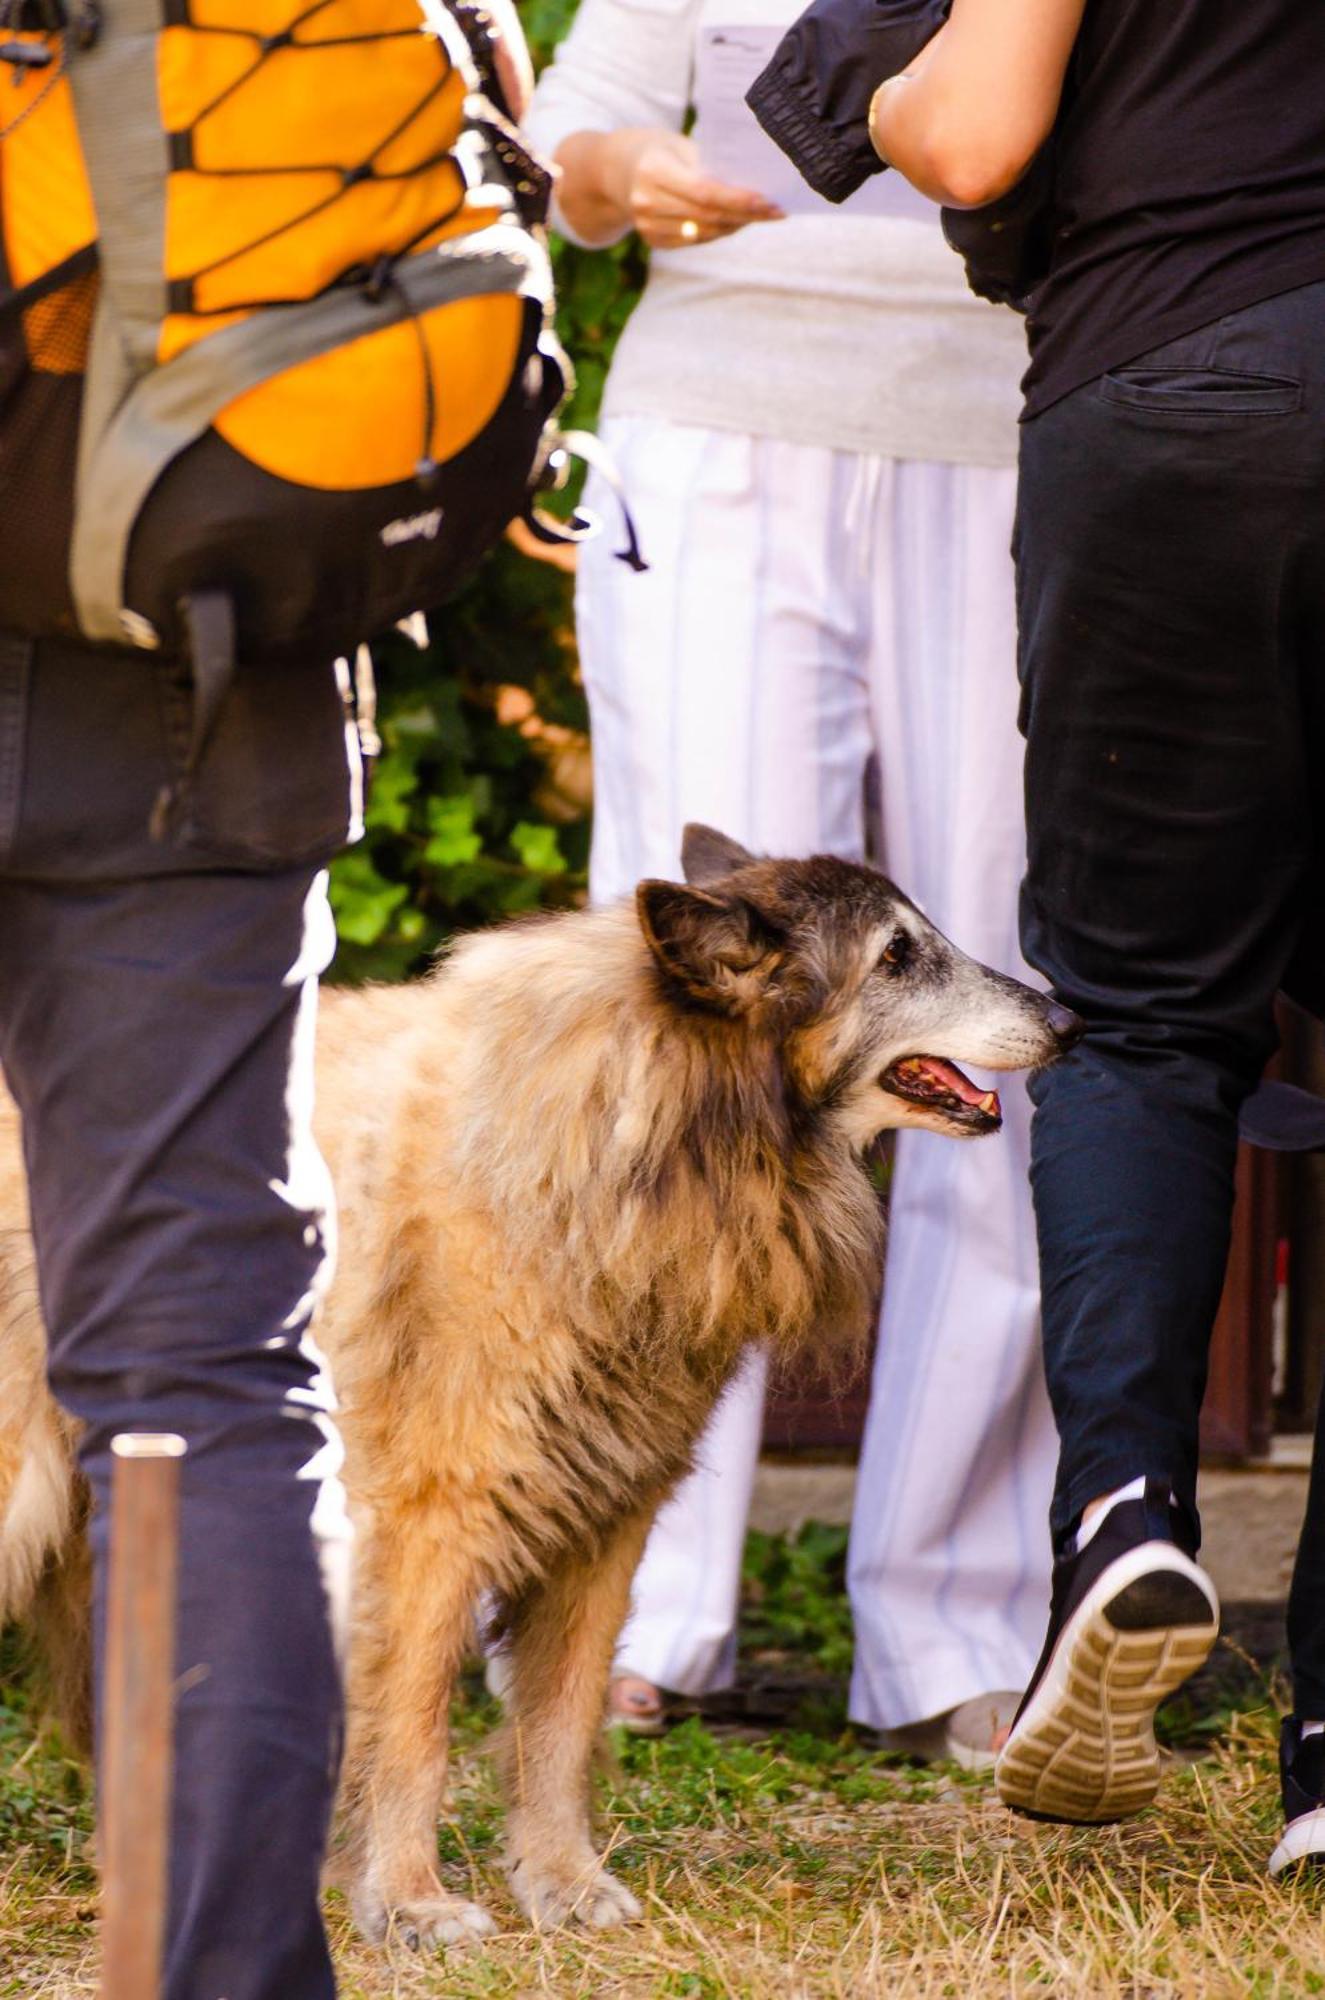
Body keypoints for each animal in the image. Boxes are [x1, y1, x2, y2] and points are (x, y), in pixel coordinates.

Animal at [0, 828, 1080, 1952]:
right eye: (896, 957)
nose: (1070, 1022)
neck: (635, 1140)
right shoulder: (426, 1528)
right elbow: (415, 1727)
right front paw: (407, 1899)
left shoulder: (603, 1523)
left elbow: (558, 1726)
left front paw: (560, 1882)